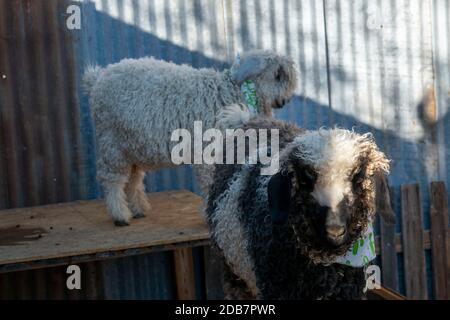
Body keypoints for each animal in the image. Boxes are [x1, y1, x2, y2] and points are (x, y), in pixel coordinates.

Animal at [82, 49, 298, 225]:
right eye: (277, 75)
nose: (283, 101)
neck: (229, 92)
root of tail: (96, 80)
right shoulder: (209, 150)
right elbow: (210, 182)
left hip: (131, 146)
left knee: (133, 178)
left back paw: (138, 210)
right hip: (111, 141)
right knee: (111, 178)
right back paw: (120, 215)